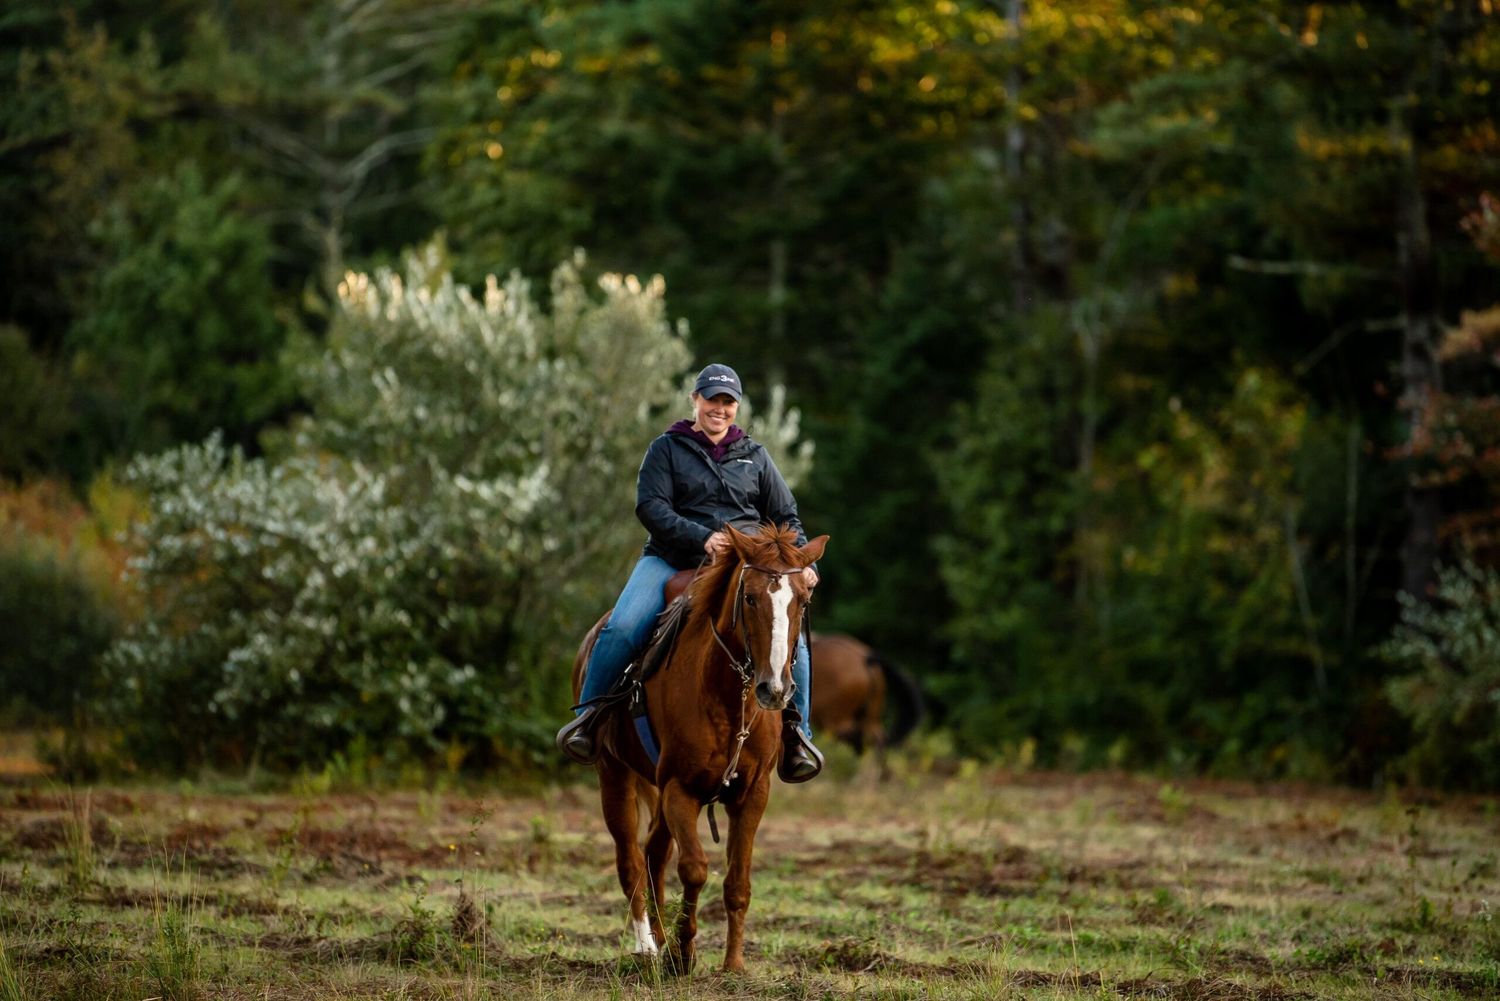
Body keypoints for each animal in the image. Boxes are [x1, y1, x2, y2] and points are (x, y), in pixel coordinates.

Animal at [571, 523, 828, 973]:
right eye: (750, 597)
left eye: (802, 599)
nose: (775, 689)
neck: (727, 697)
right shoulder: (680, 788)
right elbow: (693, 869)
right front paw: (683, 954)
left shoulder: (752, 794)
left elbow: (737, 881)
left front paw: (734, 965)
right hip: (613, 775)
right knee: (631, 860)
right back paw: (647, 946)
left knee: (654, 853)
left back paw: (658, 939)